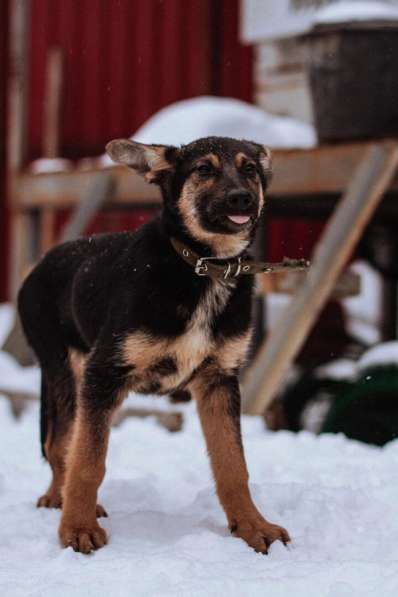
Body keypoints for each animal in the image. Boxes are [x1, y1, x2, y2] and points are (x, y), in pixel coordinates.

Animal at [18, 135, 290, 556]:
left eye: (249, 169)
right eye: (204, 169)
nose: (242, 199)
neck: (204, 265)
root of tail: (41, 263)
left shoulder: (219, 381)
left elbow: (233, 465)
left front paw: (251, 526)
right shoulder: (104, 373)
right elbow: (88, 462)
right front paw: (77, 529)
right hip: (67, 372)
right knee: (60, 443)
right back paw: (60, 500)